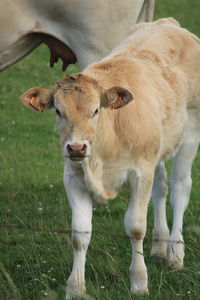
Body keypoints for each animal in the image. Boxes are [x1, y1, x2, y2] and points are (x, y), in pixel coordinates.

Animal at [19, 17, 200, 296]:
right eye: (58, 111)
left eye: (95, 110)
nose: (76, 148)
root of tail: (166, 23)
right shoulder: (74, 177)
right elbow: (79, 234)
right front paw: (75, 287)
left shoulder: (140, 173)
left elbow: (135, 227)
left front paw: (139, 282)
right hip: (157, 149)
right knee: (161, 188)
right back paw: (160, 246)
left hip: (190, 132)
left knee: (180, 189)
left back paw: (175, 254)